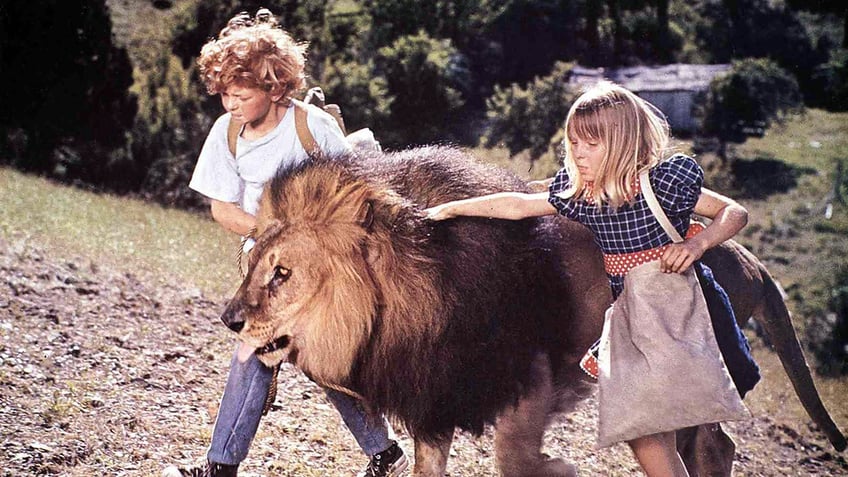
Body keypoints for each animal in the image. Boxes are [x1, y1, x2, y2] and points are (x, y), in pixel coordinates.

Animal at [222, 145, 844, 476]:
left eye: (283, 273)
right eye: (251, 263)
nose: (231, 319)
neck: (403, 305)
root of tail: (748, 258)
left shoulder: (530, 373)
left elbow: (515, 456)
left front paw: (558, 468)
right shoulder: (437, 392)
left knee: (716, 444)